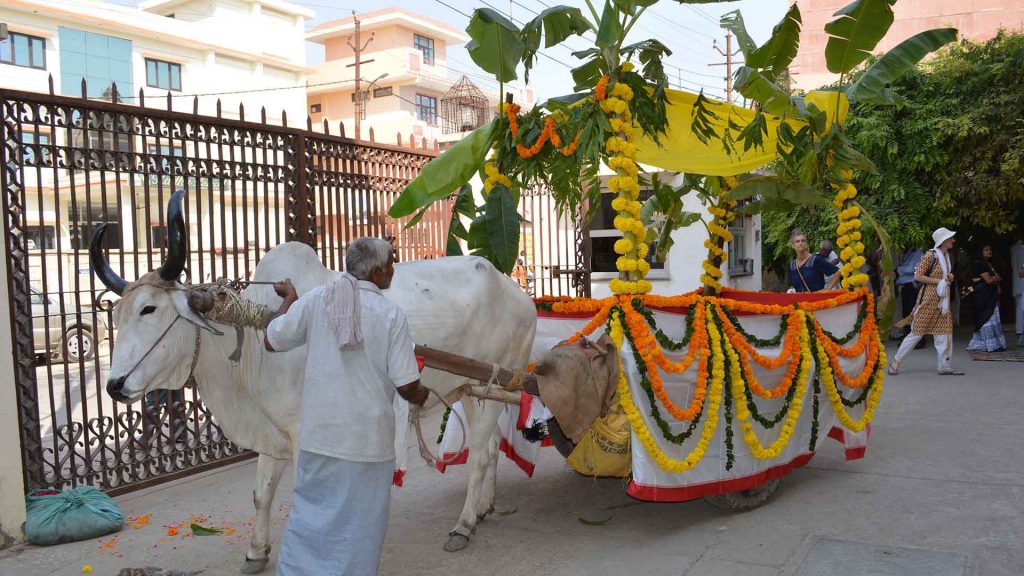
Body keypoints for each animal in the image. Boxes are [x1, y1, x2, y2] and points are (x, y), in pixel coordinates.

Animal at [92, 190, 537, 573]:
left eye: (149, 309)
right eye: (114, 315)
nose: (114, 385)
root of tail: (516, 292)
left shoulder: (302, 433)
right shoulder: (270, 430)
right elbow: (261, 493)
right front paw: (256, 552)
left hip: (492, 384)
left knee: (479, 456)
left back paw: (464, 524)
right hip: (473, 389)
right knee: (491, 447)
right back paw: (484, 507)